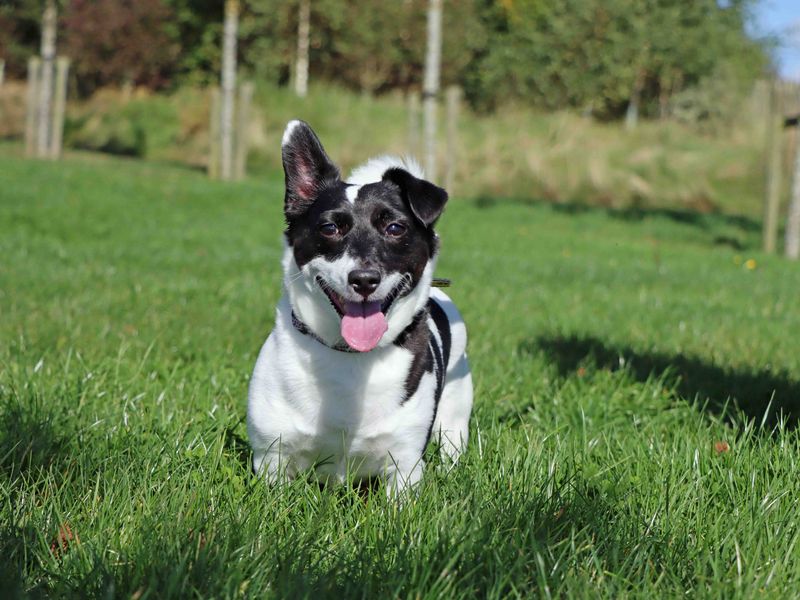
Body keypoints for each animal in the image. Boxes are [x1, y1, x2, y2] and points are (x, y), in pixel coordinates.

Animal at [247, 119, 472, 494]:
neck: (350, 356)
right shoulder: (271, 456)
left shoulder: (404, 464)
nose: (364, 279)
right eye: (329, 227)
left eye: (395, 227)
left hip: (454, 417)